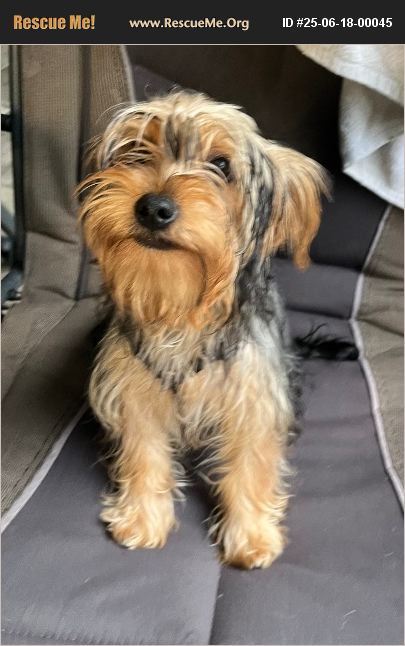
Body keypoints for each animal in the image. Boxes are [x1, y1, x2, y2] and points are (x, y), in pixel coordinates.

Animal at [77, 90, 328, 569]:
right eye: (136, 150)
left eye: (222, 165)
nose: (153, 207)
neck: (180, 309)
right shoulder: (133, 388)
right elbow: (143, 451)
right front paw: (143, 516)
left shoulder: (255, 396)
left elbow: (251, 462)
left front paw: (251, 534)